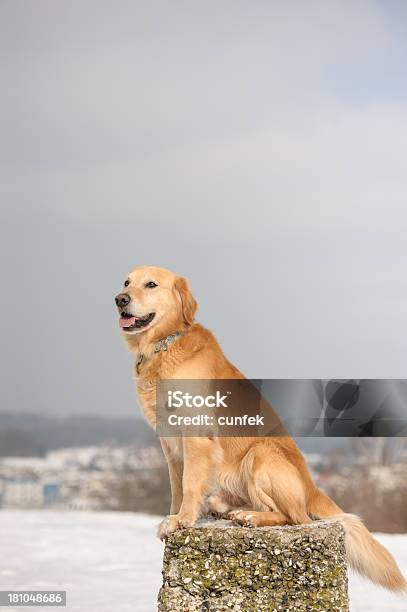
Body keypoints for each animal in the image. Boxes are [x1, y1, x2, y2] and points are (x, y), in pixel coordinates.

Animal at [115, 266, 407, 592]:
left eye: (151, 284)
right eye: (126, 282)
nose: (120, 299)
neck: (165, 345)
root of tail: (311, 487)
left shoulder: (195, 436)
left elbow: (189, 484)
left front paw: (182, 519)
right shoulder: (169, 441)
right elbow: (176, 486)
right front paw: (174, 516)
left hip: (260, 455)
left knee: (294, 517)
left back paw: (249, 517)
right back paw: (229, 509)